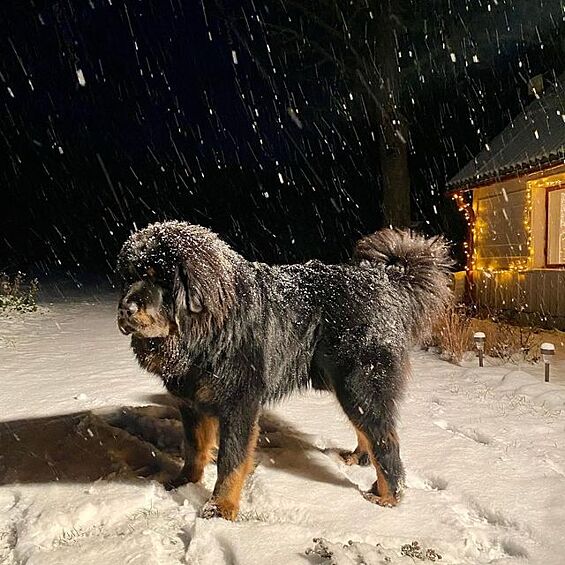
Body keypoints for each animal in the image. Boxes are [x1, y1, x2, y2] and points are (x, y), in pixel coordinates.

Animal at [117, 221, 452, 520]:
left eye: (159, 279)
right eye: (129, 277)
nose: (124, 308)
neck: (206, 333)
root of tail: (384, 280)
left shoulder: (238, 404)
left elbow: (231, 461)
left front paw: (221, 507)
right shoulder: (191, 403)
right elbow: (194, 448)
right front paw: (186, 482)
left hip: (359, 383)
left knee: (385, 441)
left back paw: (387, 499)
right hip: (349, 386)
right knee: (370, 432)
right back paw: (358, 459)